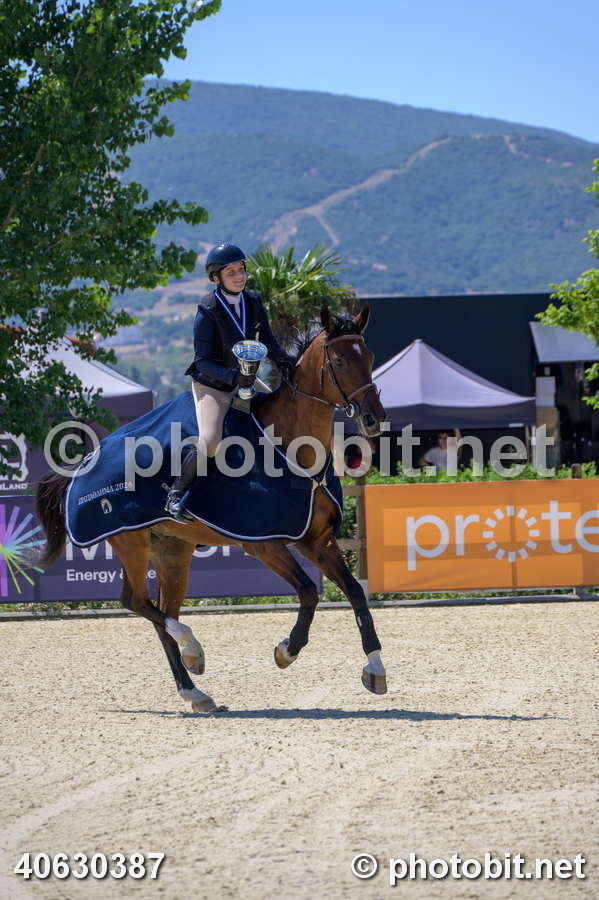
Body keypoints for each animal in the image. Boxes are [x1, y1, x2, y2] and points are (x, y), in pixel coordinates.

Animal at [36, 305, 388, 713]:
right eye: (340, 359)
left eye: (370, 357)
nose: (373, 419)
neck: (290, 444)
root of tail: (84, 462)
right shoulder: (264, 544)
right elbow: (308, 592)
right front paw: (286, 651)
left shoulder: (317, 541)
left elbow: (356, 593)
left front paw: (375, 669)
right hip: (130, 541)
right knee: (136, 601)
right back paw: (193, 650)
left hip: (172, 550)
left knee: (161, 612)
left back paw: (194, 690)